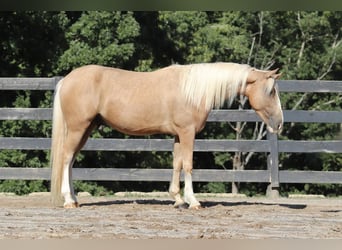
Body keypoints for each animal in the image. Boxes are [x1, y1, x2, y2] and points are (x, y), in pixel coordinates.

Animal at [48, 62, 284, 209]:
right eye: (271, 91)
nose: (279, 123)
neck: (193, 91)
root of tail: (67, 80)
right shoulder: (188, 132)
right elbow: (188, 164)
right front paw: (193, 201)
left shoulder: (179, 135)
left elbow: (177, 164)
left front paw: (177, 199)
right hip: (78, 128)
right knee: (66, 158)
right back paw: (68, 200)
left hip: (86, 129)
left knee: (70, 161)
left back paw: (75, 199)